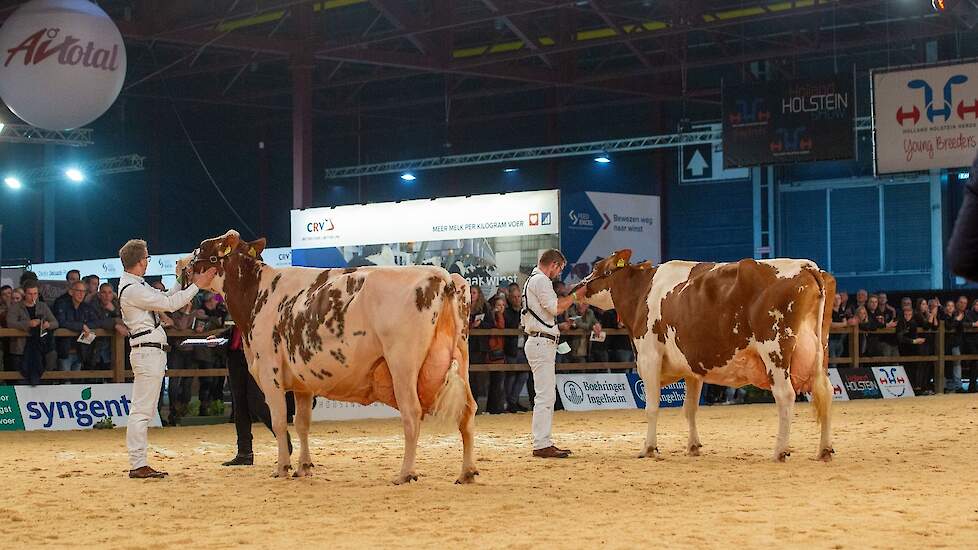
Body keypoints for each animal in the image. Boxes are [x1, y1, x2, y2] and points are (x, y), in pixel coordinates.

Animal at [181, 231, 478, 486]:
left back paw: (405, 474)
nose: (182, 265)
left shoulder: (270, 372)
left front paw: (282, 468)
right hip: (461, 358)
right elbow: (301, 424)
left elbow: (279, 421)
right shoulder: (302, 383)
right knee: (467, 411)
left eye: (202, 248)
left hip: (402, 364)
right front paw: (304, 467)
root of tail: (442, 276)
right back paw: (466, 472)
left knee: (412, 413)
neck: (257, 294)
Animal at [576, 252, 836, 464]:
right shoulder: (693, 369)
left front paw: (648, 449)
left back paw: (779, 451)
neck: (642, 292)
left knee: (786, 395)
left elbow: (652, 407)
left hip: (775, 349)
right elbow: (690, 408)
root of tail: (806, 266)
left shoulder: (650, 356)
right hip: (820, 351)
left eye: (597, 267)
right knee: (826, 391)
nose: (576, 287)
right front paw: (693, 446)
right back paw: (824, 450)